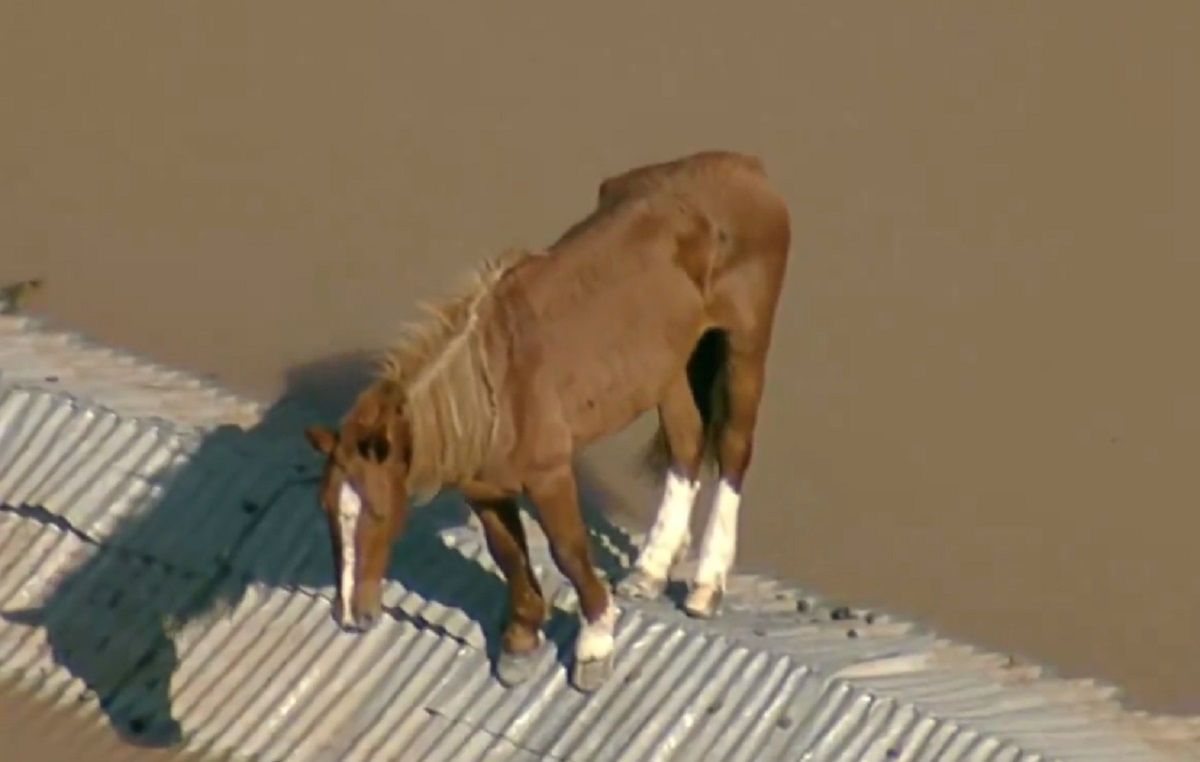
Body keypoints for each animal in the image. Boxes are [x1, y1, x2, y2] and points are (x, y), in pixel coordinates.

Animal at [304, 148, 792, 691]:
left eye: (378, 512)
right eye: (326, 509)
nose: (351, 616)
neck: (495, 389)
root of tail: (745, 167)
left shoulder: (550, 476)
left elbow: (568, 551)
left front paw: (595, 643)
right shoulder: (484, 488)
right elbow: (508, 554)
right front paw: (521, 641)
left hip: (744, 345)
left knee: (732, 449)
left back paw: (707, 585)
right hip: (668, 365)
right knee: (686, 445)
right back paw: (650, 568)